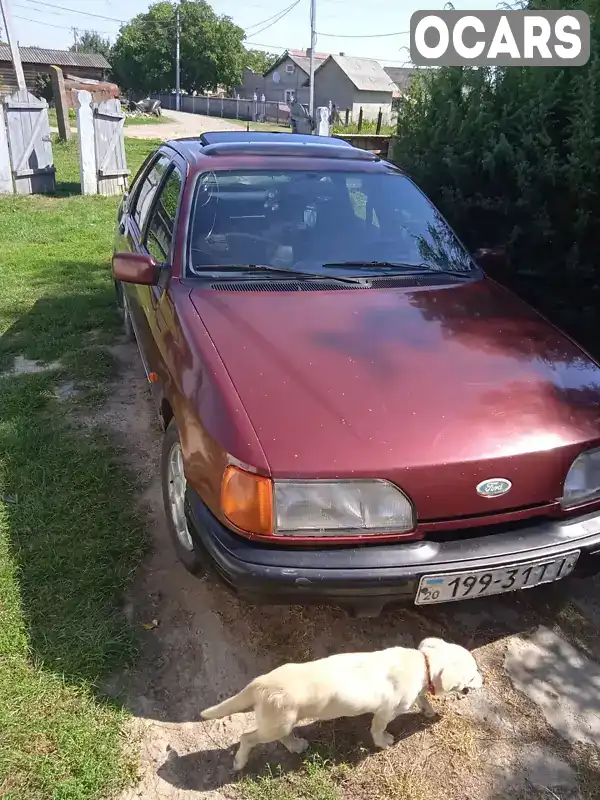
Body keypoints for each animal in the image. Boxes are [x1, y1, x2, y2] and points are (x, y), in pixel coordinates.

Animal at [202, 636, 482, 768]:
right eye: (473, 674)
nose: (484, 679)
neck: (424, 664)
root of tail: (261, 682)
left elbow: (422, 697)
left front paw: (428, 709)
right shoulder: (385, 712)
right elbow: (378, 729)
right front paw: (384, 742)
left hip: (281, 722)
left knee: (282, 737)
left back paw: (296, 746)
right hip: (275, 724)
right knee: (247, 737)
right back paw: (240, 761)